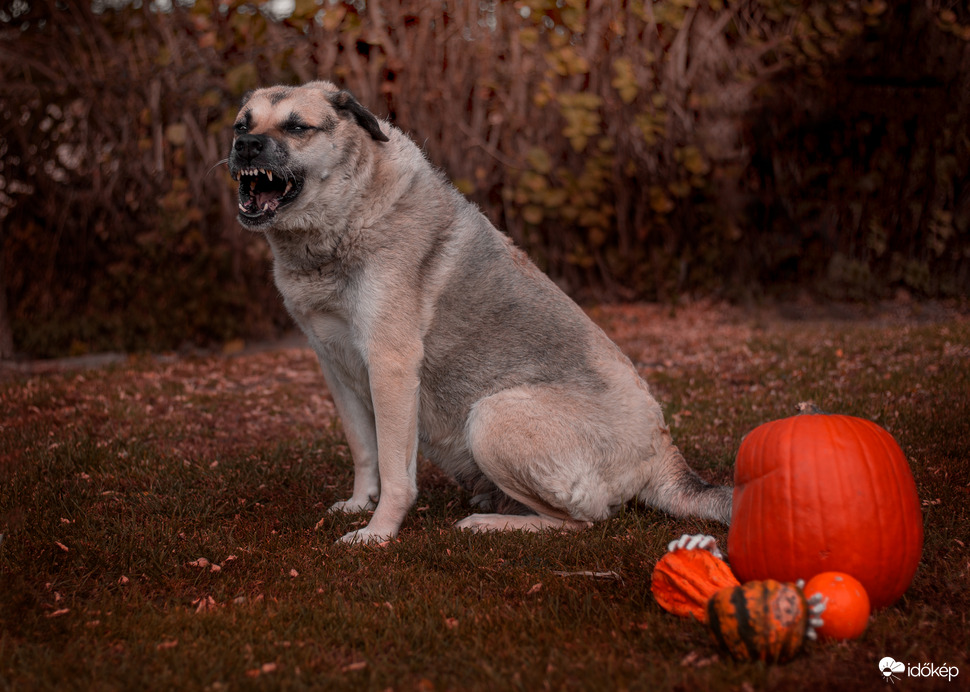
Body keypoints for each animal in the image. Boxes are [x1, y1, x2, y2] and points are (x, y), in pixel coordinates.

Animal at [225, 82, 728, 548]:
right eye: (241, 125)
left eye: (296, 127)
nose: (246, 146)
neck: (345, 217)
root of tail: (663, 451)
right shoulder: (336, 366)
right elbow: (365, 451)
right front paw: (358, 504)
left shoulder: (390, 366)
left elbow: (394, 471)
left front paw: (378, 532)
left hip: (491, 417)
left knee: (584, 521)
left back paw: (489, 522)